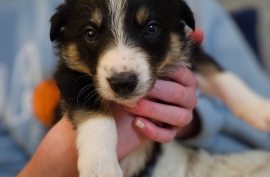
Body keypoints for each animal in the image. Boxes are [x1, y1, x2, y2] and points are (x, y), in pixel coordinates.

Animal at [50, 0, 194, 176]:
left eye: (152, 28)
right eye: (90, 34)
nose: (123, 82)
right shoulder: (71, 76)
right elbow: (96, 118)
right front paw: (101, 167)